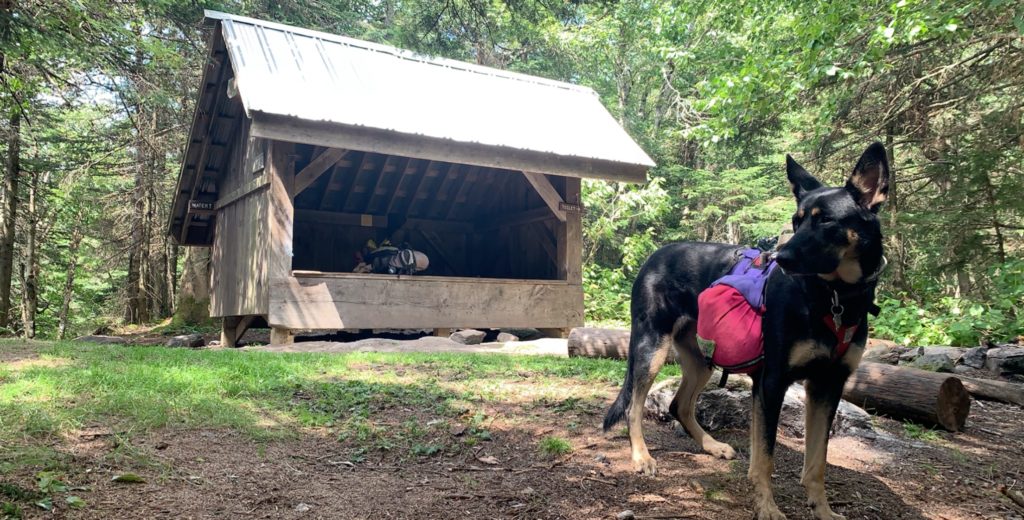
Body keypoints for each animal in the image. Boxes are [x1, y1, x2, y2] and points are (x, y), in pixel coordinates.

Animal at [598, 142, 888, 520]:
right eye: (796, 221)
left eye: (826, 220)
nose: (781, 258)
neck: (834, 297)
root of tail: (653, 256)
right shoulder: (773, 382)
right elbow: (765, 458)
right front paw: (767, 508)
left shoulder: (828, 385)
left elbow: (816, 463)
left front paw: (823, 510)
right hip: (651, 348)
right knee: (634, 405)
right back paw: (641, 457)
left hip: (700, 361)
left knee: (679, 405)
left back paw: (711, 445)